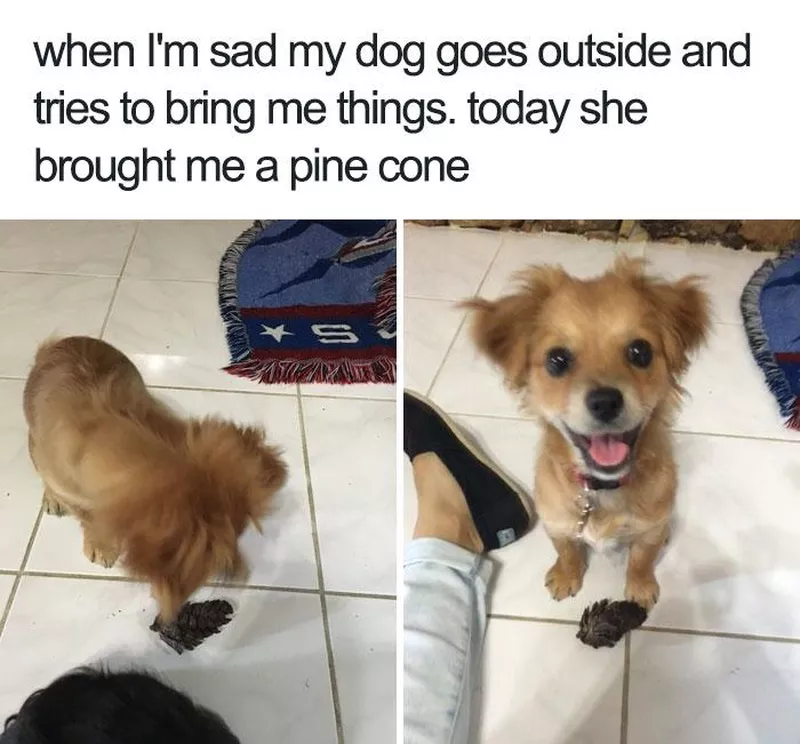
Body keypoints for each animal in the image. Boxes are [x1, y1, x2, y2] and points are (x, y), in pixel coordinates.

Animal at [22, 338, 288, 620]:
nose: (238, 572)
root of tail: (53, 346)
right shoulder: (72, 492)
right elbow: (89, 518)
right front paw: (102, 545)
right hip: (34, 447)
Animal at [466, 258, 708, 608]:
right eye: (556, 359)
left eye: (640, 352)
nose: (605, 401)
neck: (602, 489)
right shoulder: (556, 522)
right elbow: (567, 550)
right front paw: (566, 576)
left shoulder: (649, 528)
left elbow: (641, 559)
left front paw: (640, 586)